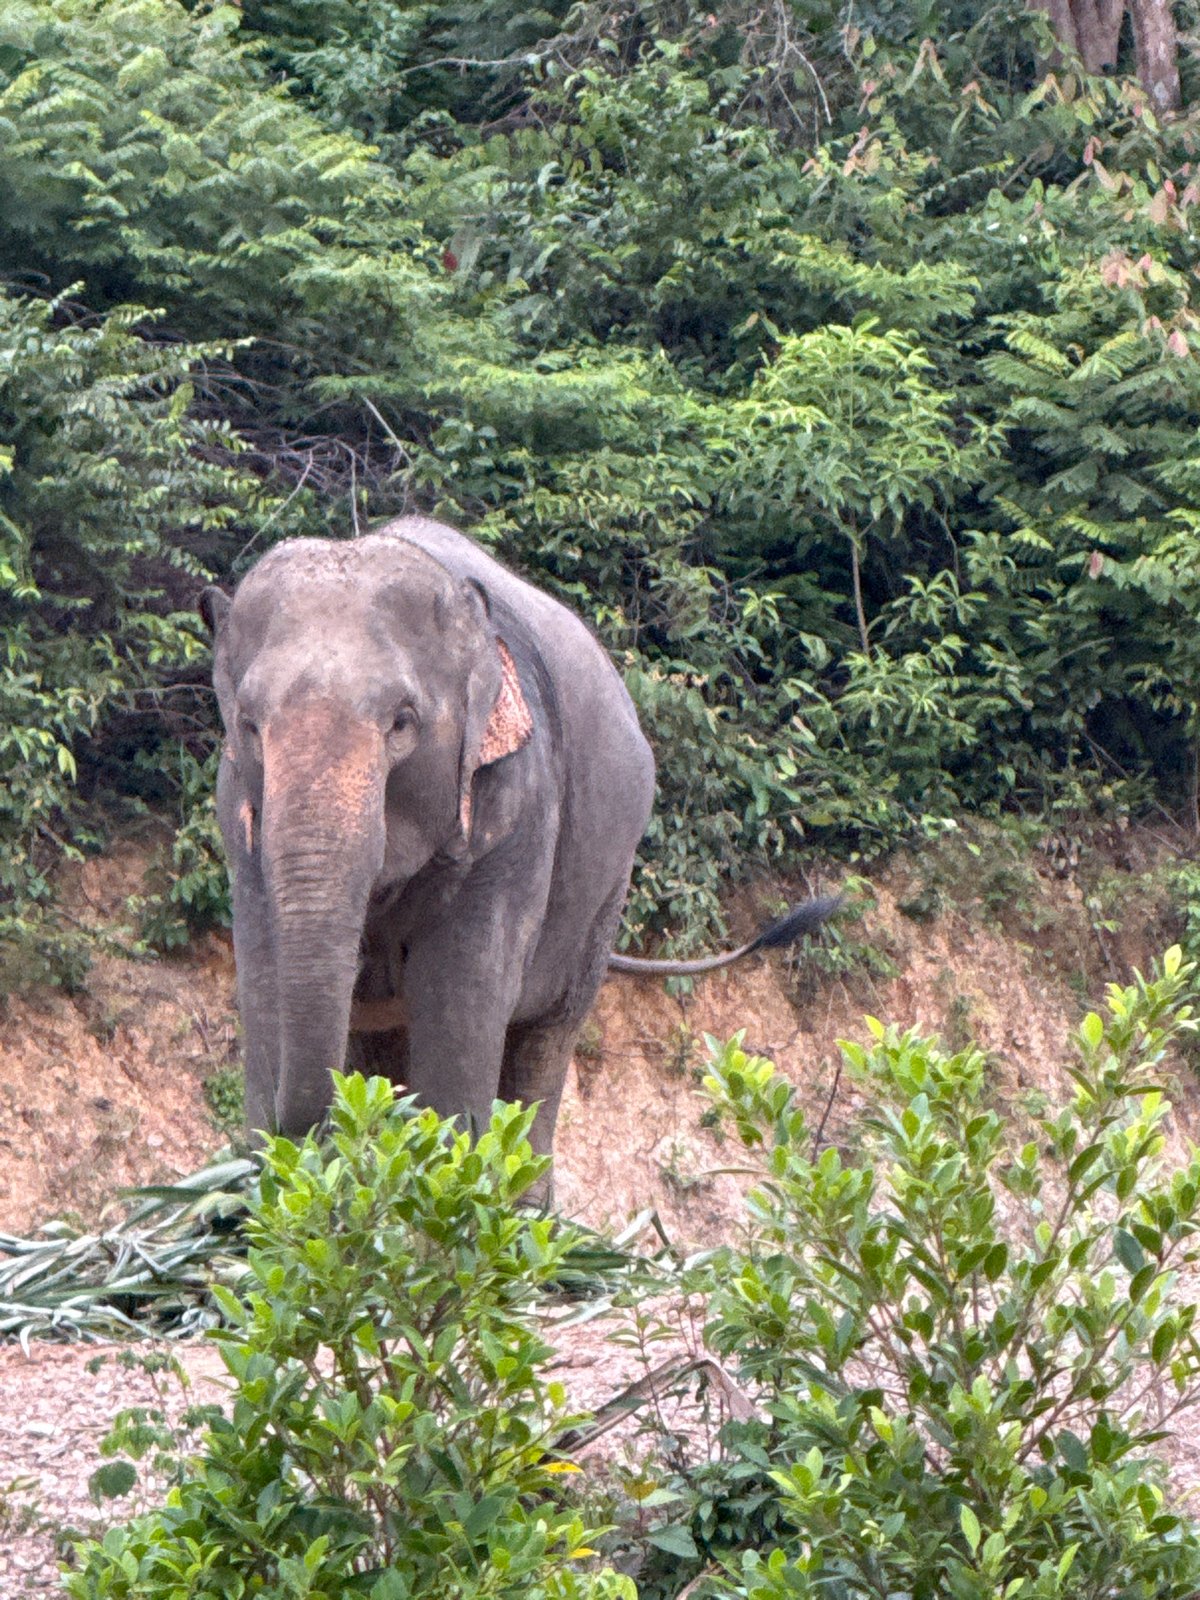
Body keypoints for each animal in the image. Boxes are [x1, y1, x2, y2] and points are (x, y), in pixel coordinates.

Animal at [202, 516, 836, 1166]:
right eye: (248, 725)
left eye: (402, 722)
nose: (302, 1132)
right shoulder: (236, 814)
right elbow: (263, 989)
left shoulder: (517, 810)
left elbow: (460, 1012)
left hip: (605, 894)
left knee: (543, 1045)